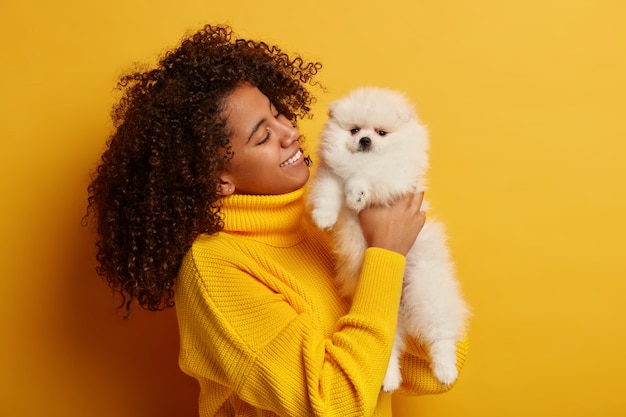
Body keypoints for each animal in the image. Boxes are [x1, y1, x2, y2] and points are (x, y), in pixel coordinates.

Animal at [308, 86, 468, 392]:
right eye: (354, 129)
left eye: (381, 132)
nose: (365, 140)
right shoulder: (330, 174)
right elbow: (328, 191)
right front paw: (324, 217)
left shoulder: (395, 175)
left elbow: (368, 174)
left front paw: (357, 193)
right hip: (384, 316)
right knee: (385, 351)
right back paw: (390, 379)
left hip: (428, 292)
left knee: (441, 335)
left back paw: (445, 370)